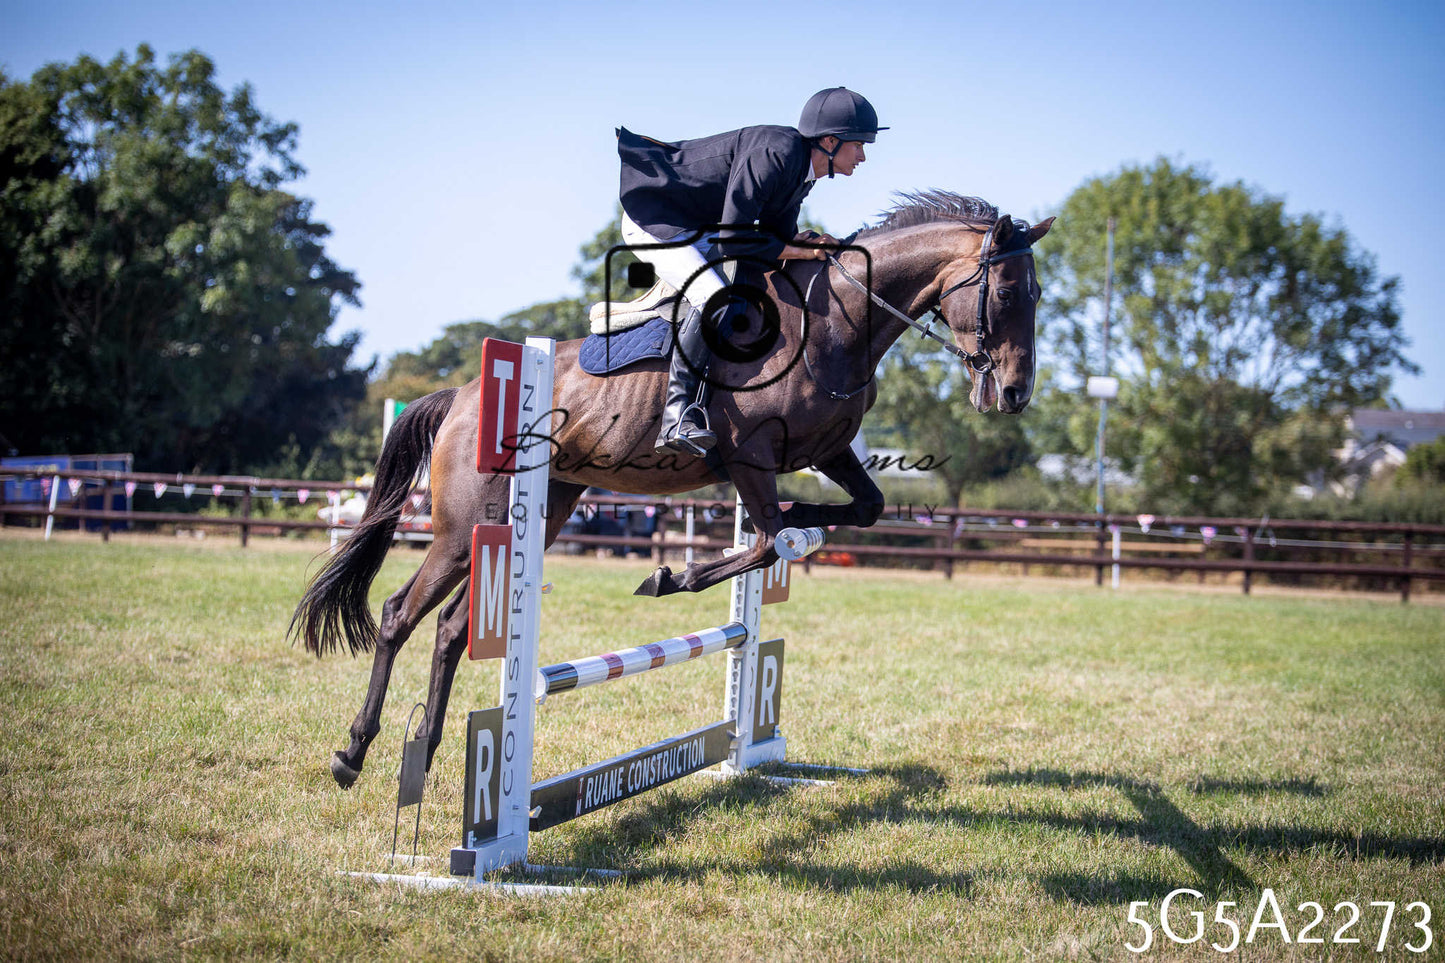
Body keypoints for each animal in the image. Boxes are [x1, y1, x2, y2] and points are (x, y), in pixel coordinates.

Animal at [293, 191, 1053, 787]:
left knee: (452, 628)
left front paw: (785, 530)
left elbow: (854, 510)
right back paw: (354, 753)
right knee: (400, 614)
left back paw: (424, 748)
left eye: (1038, 295)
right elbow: (770, 538)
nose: (1016, 393)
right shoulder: (747, 457)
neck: (835, 323)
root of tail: (461, 395)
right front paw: (668, 575)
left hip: (539, 513)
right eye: (1007, 293)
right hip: (465, 529)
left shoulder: (827, 452)